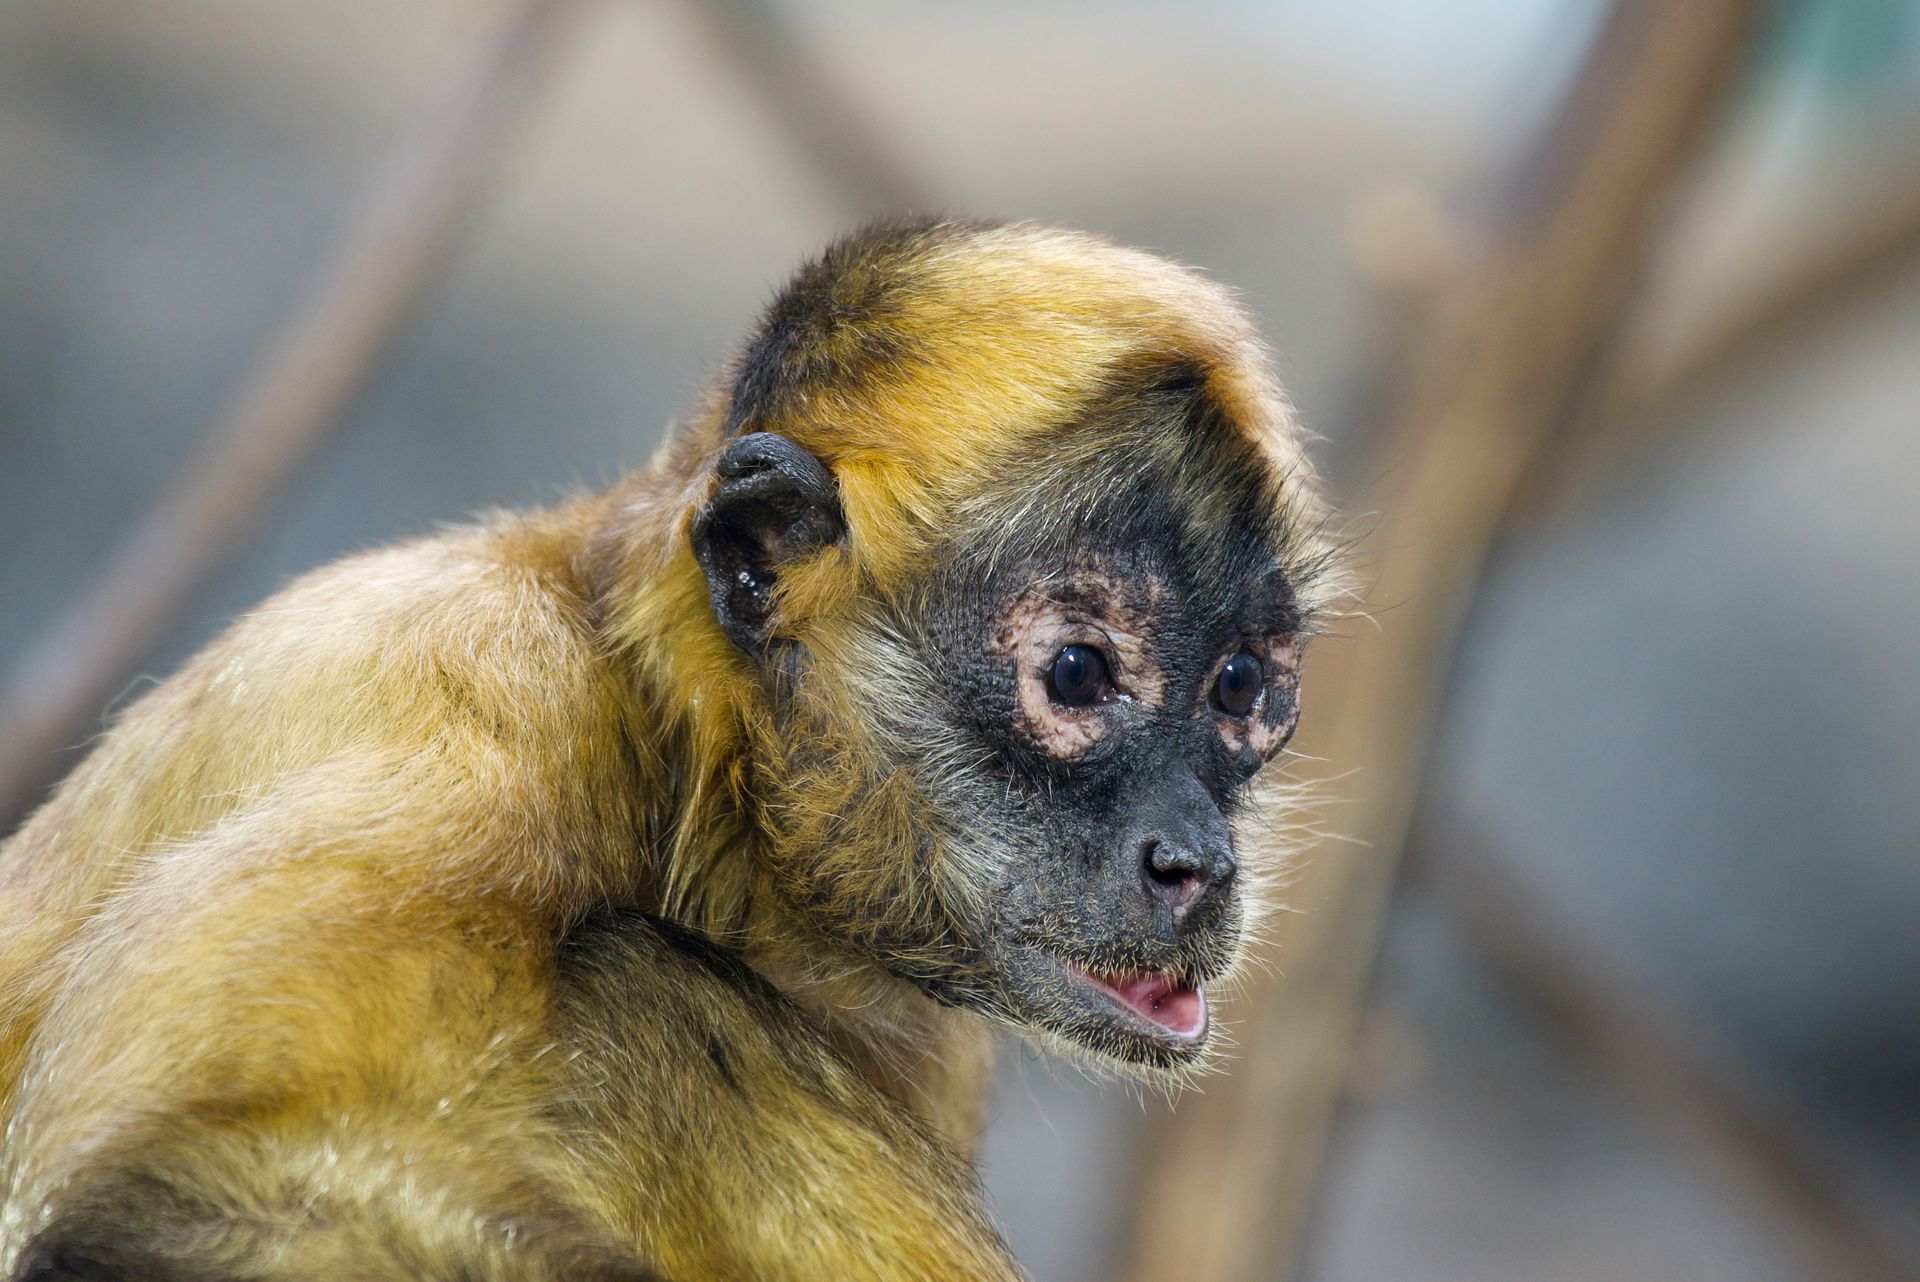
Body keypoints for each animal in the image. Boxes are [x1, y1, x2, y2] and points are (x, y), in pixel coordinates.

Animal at [0, 217, 1338, 1281]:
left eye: (1241, 688)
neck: (655, 709)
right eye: (1076, 677)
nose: (1197, 859)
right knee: (639, 982)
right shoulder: (472, 698)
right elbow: (154, 1195)